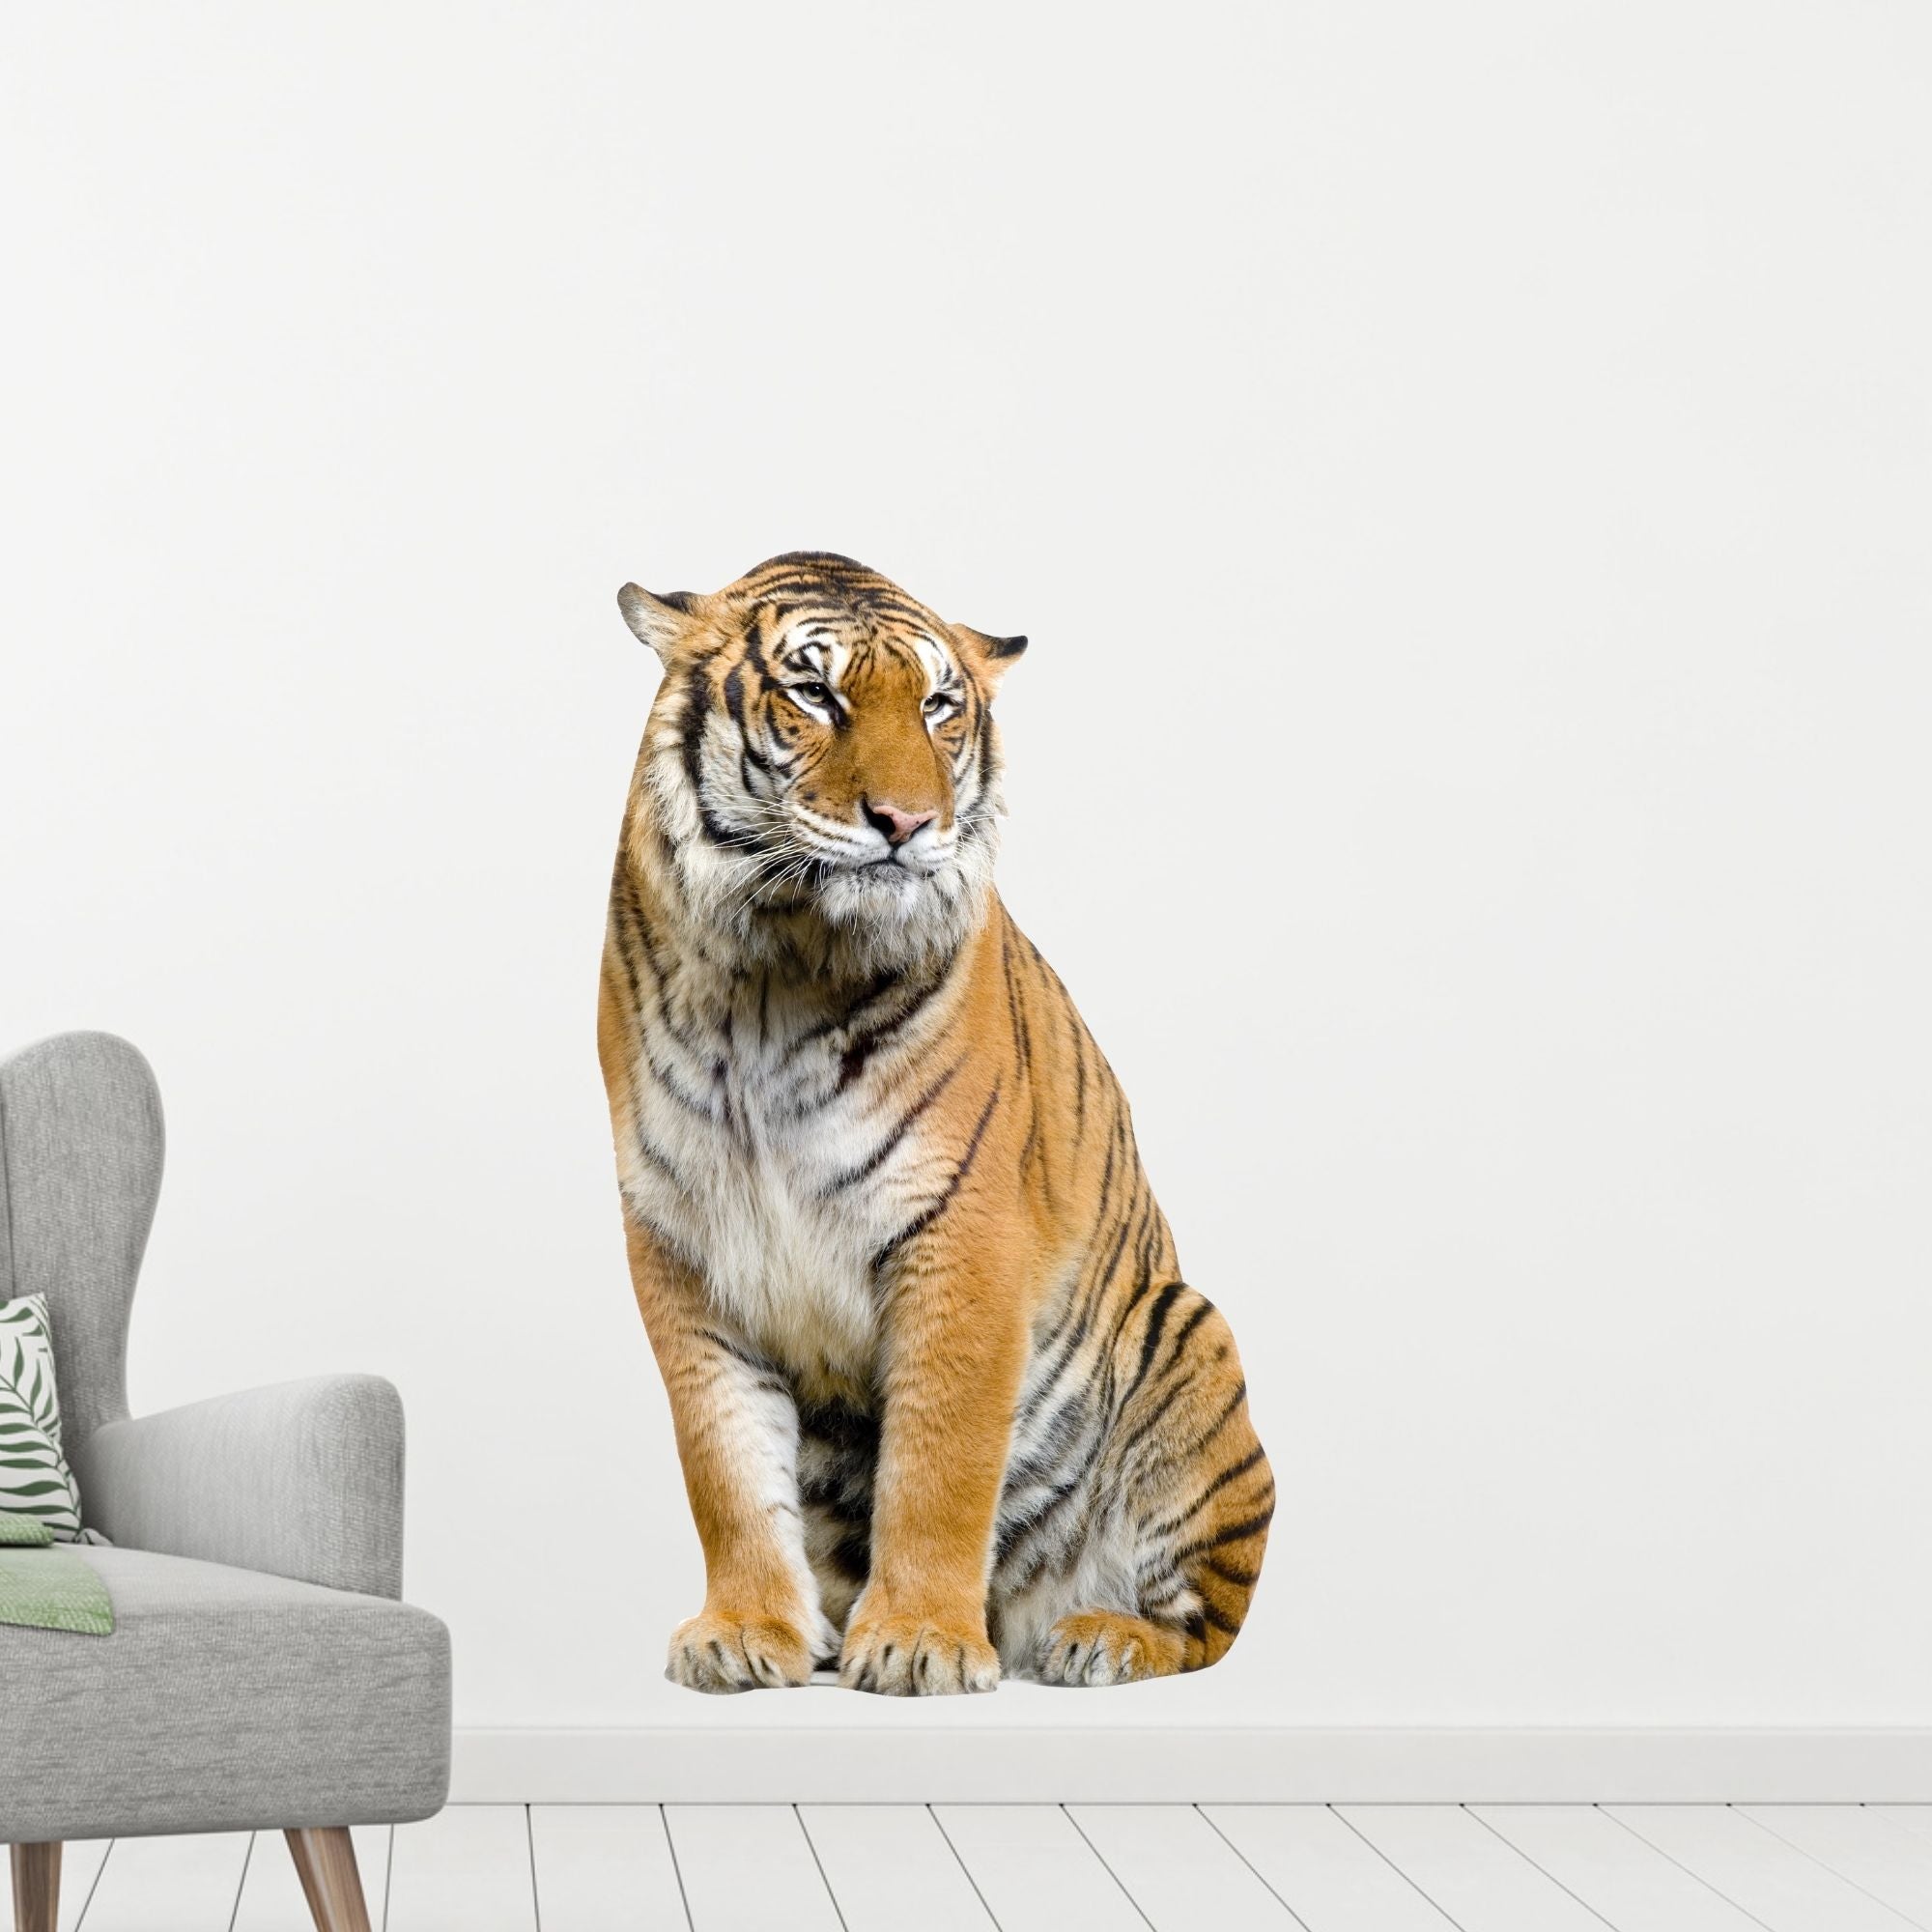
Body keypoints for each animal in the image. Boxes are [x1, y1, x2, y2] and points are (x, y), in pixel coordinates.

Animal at [597, 551, 1272, 1694]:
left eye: (937, 705)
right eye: (814, 693)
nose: (906, 824)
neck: (774, 974)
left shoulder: (959, 1232)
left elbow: (939, 1460)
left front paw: (917, 1639)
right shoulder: (681, 1242)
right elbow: (723, 1462)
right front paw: (745, 1630)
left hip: (1188, 1333)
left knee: (1205, 1626)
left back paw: (1098, 1636)